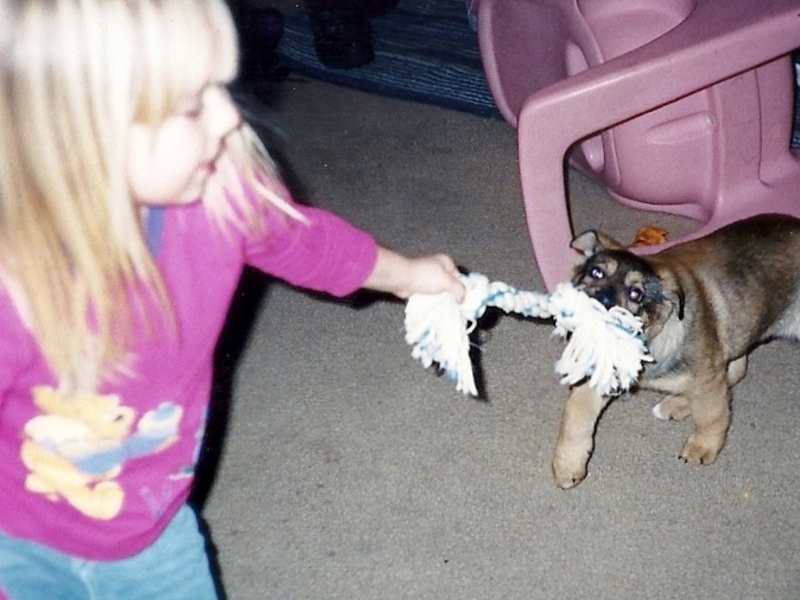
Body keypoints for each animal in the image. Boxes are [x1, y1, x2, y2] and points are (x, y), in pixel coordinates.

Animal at [552, 214, 800, 488]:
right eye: (596, 272)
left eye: (636, 294)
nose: (601, 301)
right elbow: (576, 418)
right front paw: (567, 465)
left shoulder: (707, 378)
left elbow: (711, 416)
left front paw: (703, 447)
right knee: (735, 373)